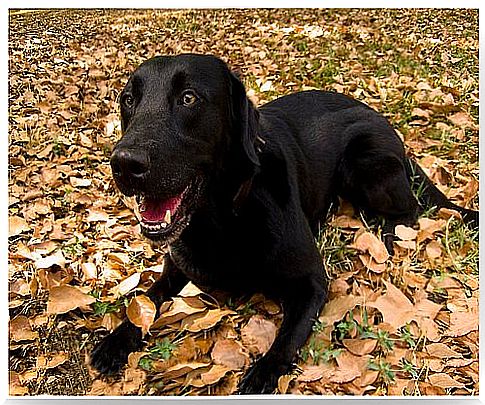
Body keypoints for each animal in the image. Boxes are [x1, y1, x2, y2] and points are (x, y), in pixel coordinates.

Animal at [90, 52, 476, 392]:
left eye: (188, 98)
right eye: (128, 100)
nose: (123, 163)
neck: (222, 217)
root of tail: (383, 121)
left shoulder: (312, 283)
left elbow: (288, 336)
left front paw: (263, 372)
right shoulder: (175, 269)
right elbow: (147, 298)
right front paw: (116, 340)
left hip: (365, 164)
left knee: (411, 210)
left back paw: (391, 233)